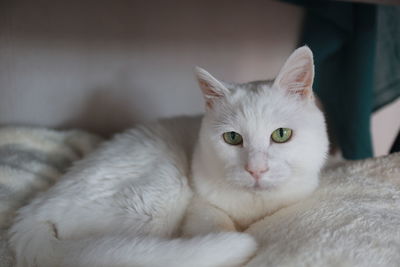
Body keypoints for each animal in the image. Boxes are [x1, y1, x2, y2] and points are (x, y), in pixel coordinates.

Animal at [9, 46, 328, 267]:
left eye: (281, 135)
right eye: (232, 138)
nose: (256, 169)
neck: (254, 208)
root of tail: (33, 211)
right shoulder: (199, 207)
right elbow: (217, 224)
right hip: (163, 191)